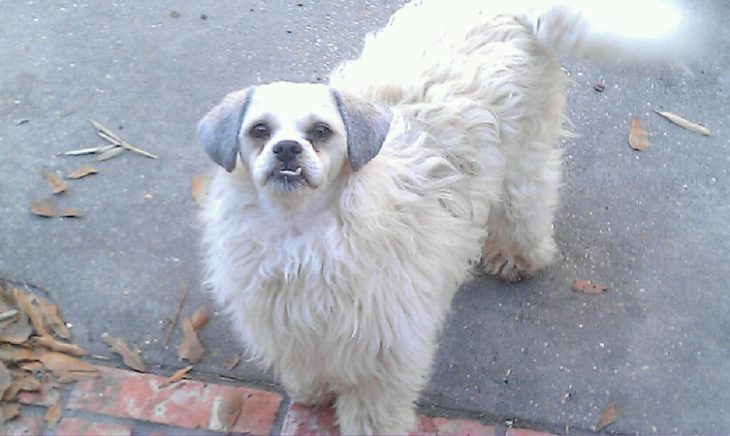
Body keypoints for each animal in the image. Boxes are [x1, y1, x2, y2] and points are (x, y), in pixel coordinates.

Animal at [198, 0, 692, 432]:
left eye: (321, 132)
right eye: (259, 131)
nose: (286, 149)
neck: (302, 235)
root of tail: (514, 9)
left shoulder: (385, 347)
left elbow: (373, 406)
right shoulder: (286, 326)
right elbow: (305, 365)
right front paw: (312, 391)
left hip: (523, 162)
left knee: (529, 206)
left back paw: (518, 257)